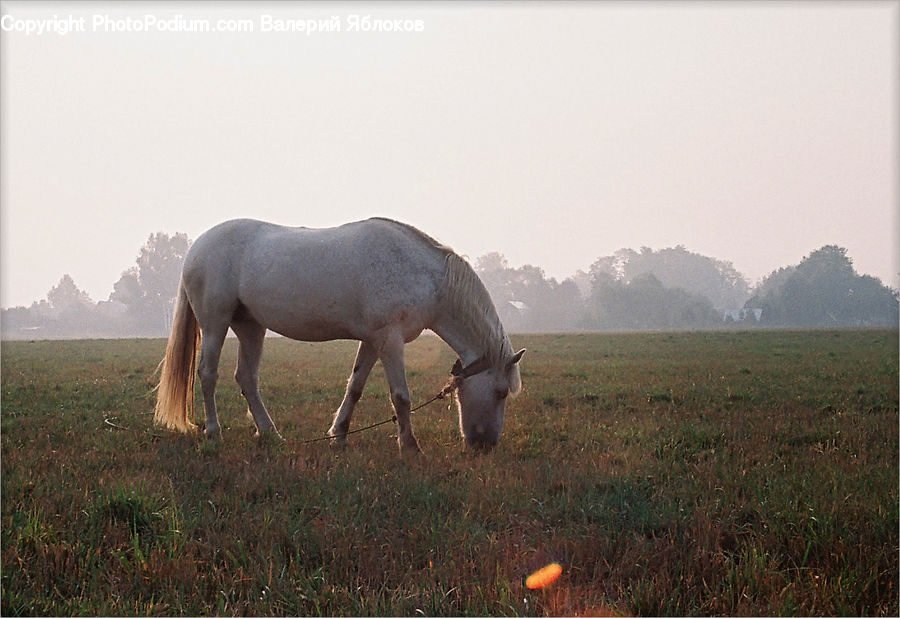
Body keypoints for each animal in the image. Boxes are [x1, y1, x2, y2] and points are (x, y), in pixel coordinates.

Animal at [154, 217, 525, 452]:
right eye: (501, 392)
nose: (485, 445)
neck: (425, 276)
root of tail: (196, 248)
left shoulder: (374, 341)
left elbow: (355, 387)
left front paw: (340, 435)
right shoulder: (391, 341)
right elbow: (400, 396)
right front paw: (409, 445)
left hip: (250, 327)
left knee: (246, 378)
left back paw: (271, 434)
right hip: (215, 323)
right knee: (208, 374)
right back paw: (214, 433)